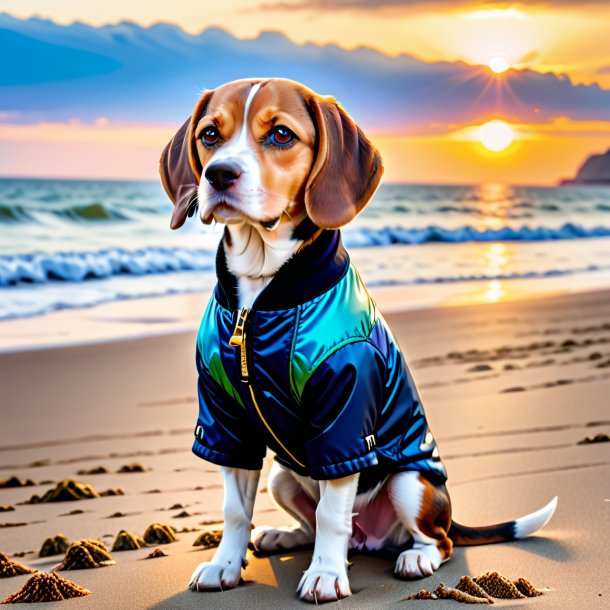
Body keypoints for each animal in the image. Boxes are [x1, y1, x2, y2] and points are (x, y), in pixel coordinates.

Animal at [158, 78, 556, 600]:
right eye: (209, 134)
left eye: (281, 134)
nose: (219, 174)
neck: (261, 291)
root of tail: (370, 540)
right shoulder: (227, 420)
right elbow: (234, 509)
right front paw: (225, 564)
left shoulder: (344, 421)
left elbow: (332, 514)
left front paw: (326, 575)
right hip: (283, 476)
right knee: (315, 525)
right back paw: (283, 536)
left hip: (410, 482)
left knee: (436, 539)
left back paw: (412, 557)